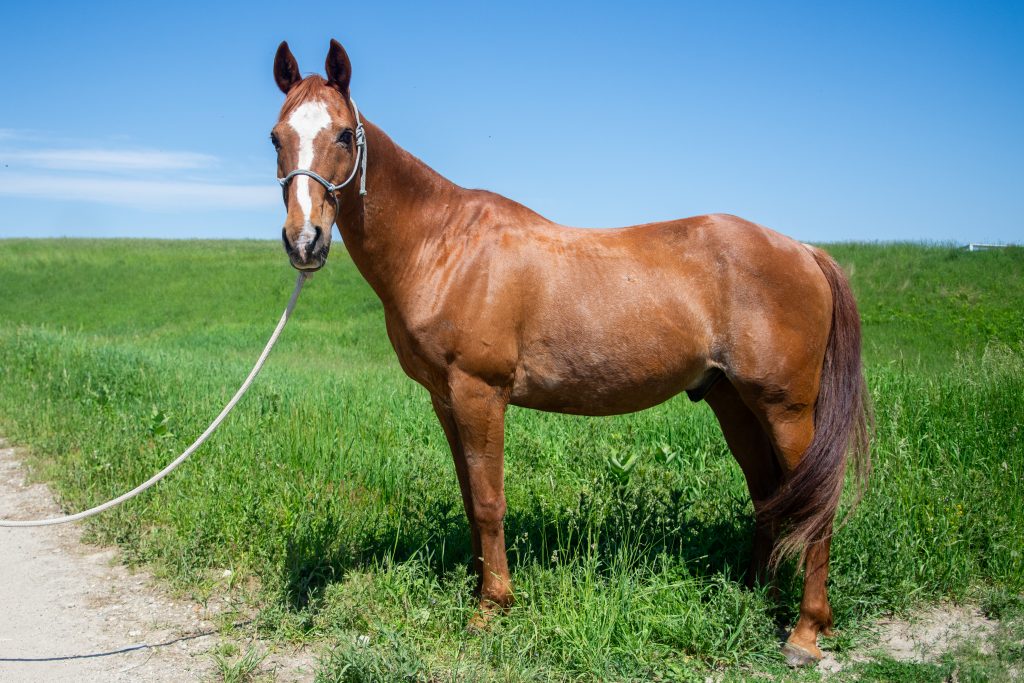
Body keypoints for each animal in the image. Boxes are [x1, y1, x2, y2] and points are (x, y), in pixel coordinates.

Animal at [270, 39, 871, 666]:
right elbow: (470, 496)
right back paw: (757, 594)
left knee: (815, 503)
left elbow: (489, 501)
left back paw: (805, 630)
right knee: (770, 494)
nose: (304, 241)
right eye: (275, 137)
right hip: (733, 401)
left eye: (343, 134)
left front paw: (492, 608)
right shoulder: (445, 399)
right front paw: (481, 589)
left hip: (786, 408)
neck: (444, 246)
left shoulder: (480, 394)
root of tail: (804, 250)